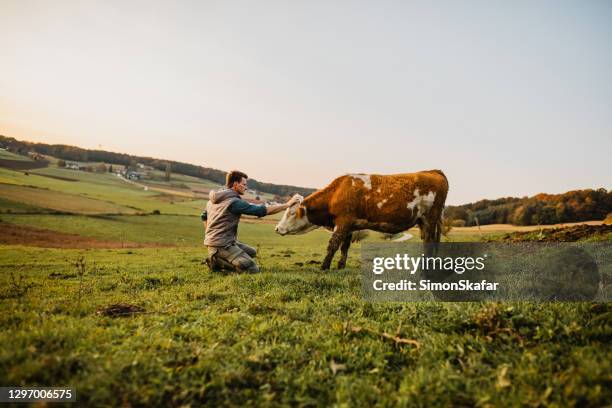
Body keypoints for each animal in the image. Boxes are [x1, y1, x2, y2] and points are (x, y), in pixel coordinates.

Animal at [274, 170, 448, 270]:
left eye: (291, 213)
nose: (277, 228)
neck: (336, 193)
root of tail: (434, 171)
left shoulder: (342, 222)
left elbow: (333, 245)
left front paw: (324, 266)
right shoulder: (349, 226)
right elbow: (344, 247)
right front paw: (341, 266)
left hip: (429, 220)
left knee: (429, 242)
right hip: (424, 222)